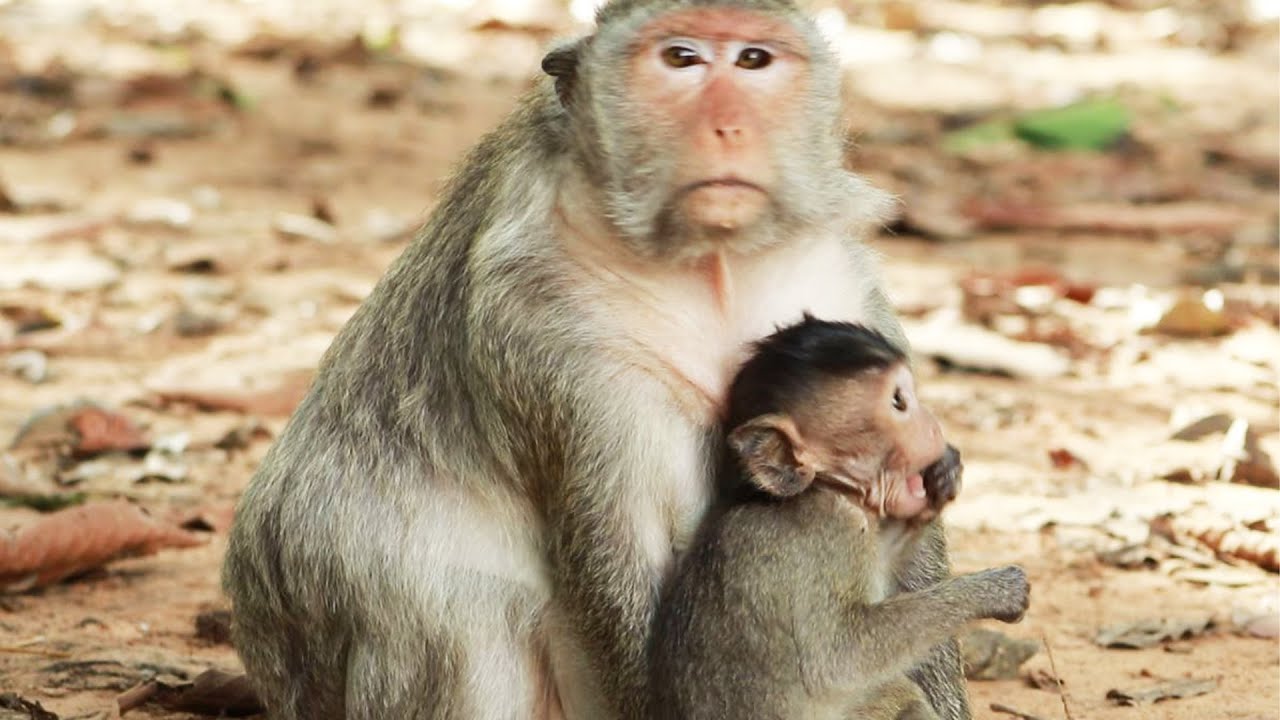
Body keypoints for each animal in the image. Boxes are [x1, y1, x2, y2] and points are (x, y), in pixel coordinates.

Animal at [221, 1, 972, 719]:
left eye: (753, 59)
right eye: (681, 59)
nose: (727, 127)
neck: (712, 267)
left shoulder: (834, 280)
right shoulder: (549, 333)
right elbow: (617, 556)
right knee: (461, 611)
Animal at [648, 317, 1030, 720]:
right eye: (899, 401)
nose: (933, 424)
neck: (822, 488)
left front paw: (941, 481)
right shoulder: (831, 533)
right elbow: (839, 661)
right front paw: (991, 591)